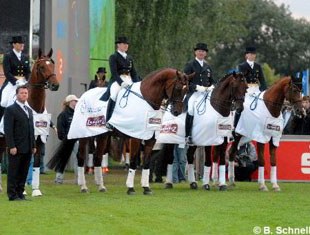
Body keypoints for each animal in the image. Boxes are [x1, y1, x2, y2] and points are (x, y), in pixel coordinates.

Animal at [0, 47, 59, 195]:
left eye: (53, 64)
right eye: (42, 66)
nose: (55, 85)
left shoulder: (38, 139)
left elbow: (35, 163)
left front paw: (36, 190)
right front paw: (23, 191)